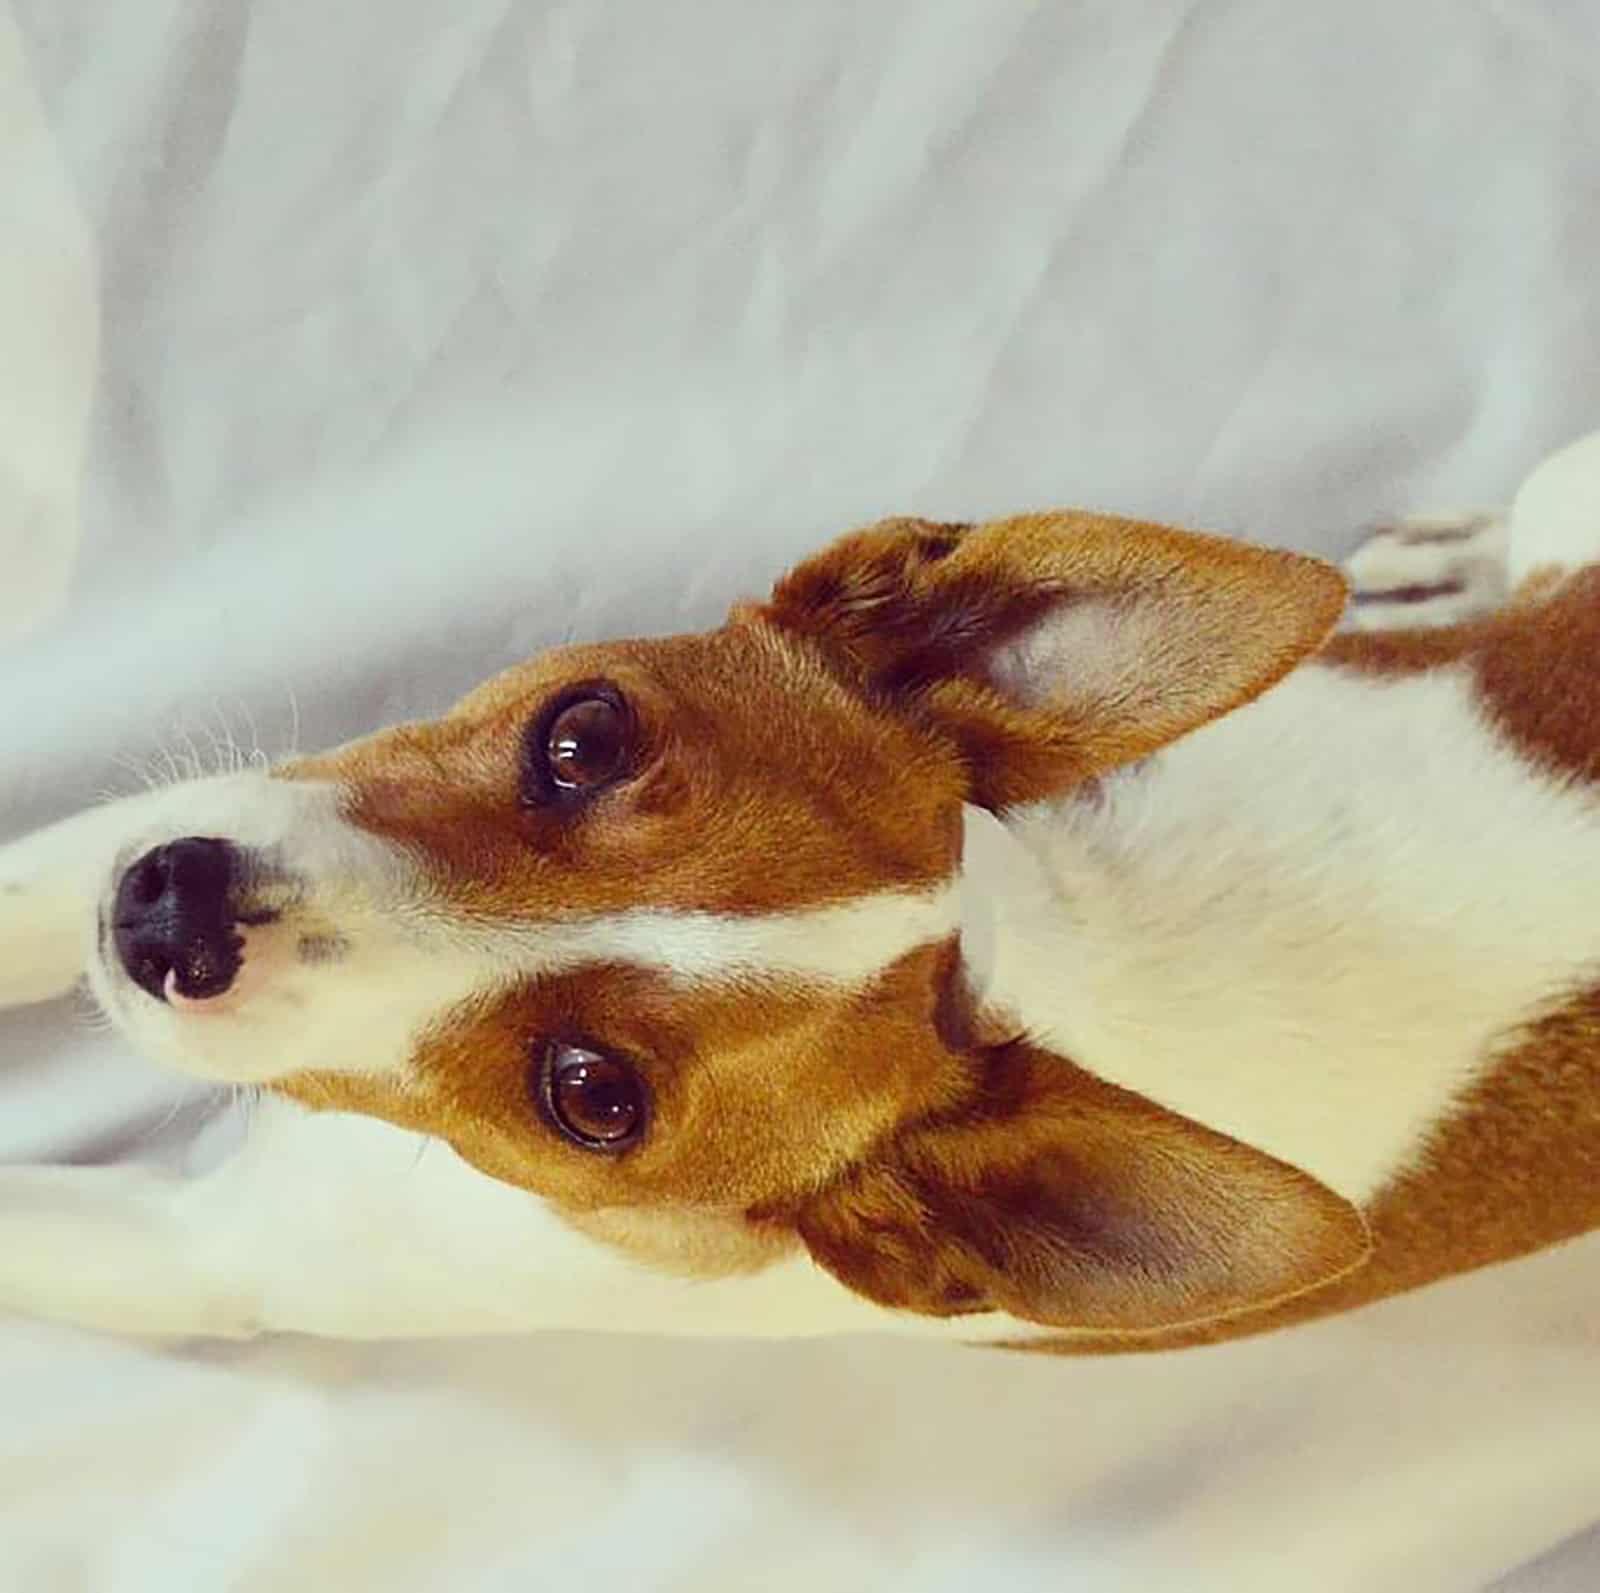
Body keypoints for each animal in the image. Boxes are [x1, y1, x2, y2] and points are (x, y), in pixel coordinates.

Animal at [0, 428, 1593, 1349]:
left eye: (591, 1096)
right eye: (582, 733)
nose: (173, 912)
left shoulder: (207, 1255)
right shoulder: (204, 802)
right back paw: (1458, 558)